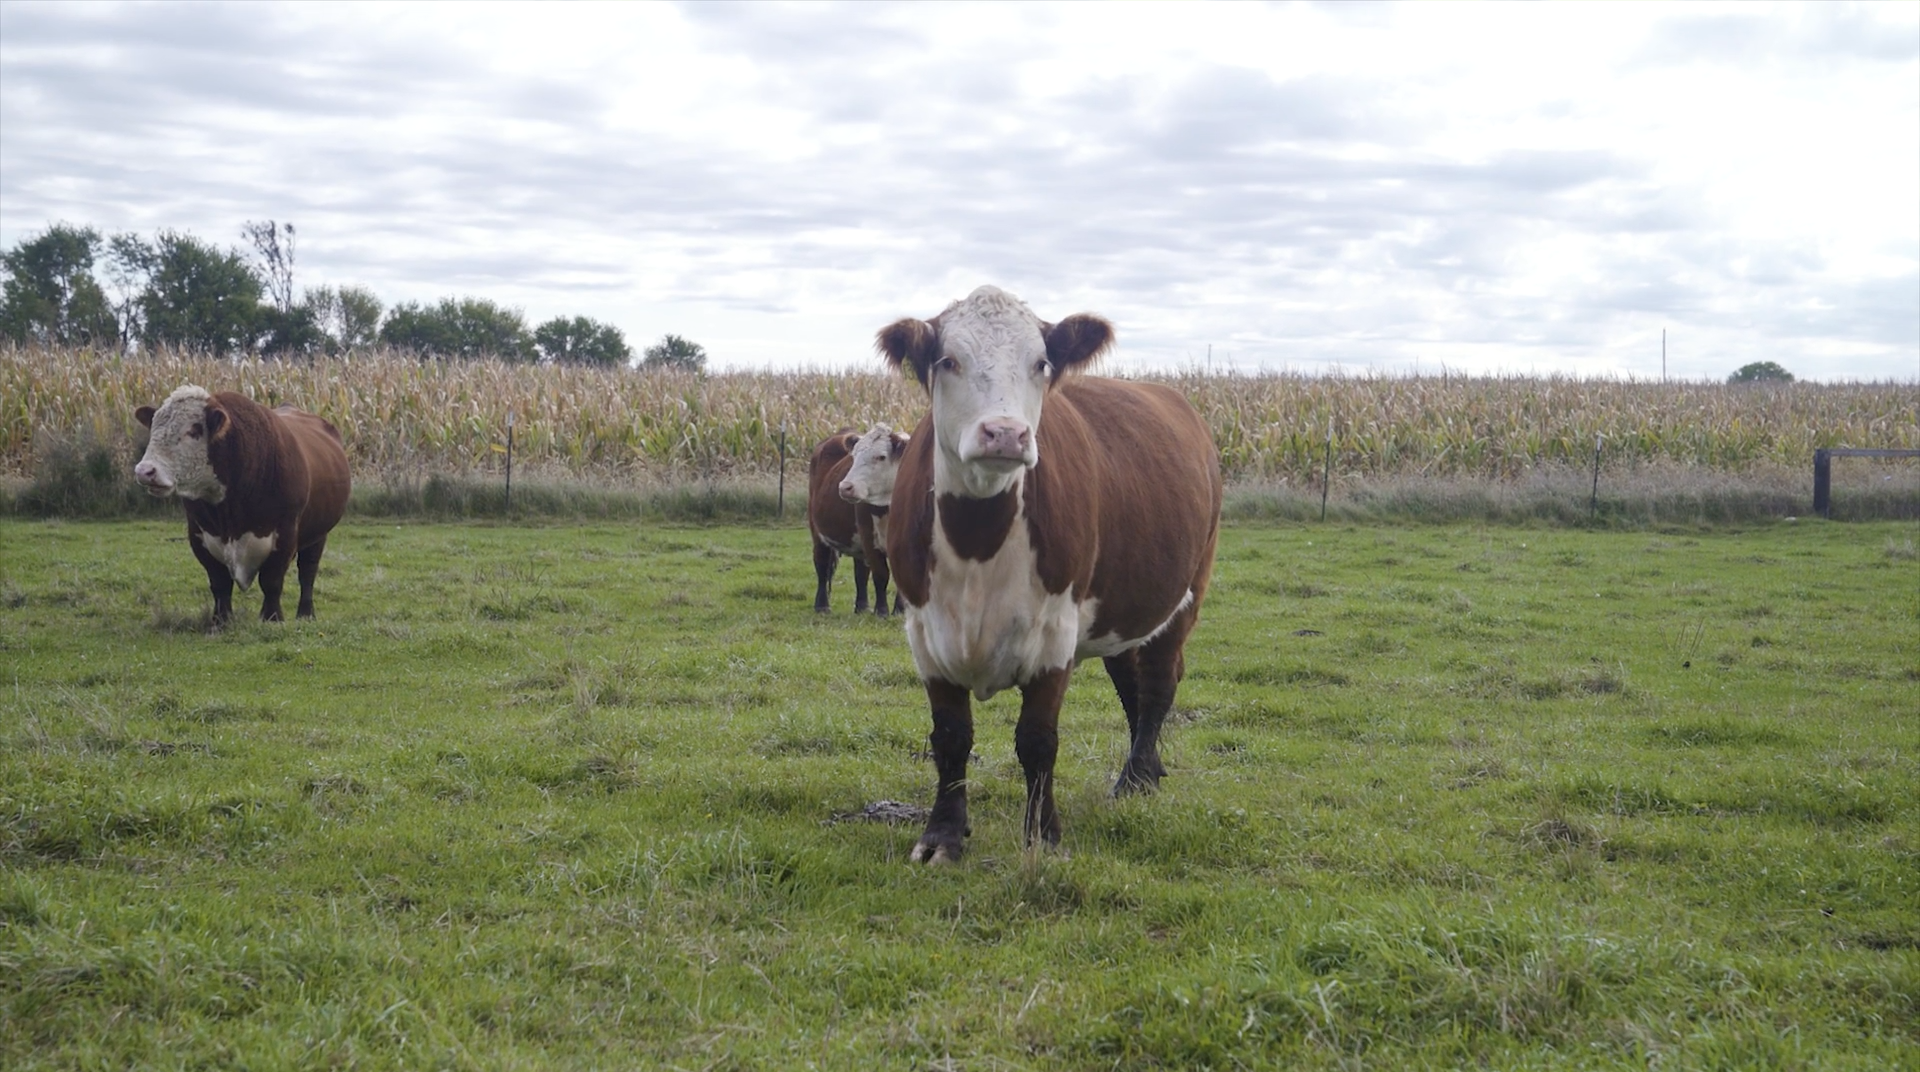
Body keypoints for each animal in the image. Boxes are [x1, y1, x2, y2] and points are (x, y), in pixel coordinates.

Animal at [133, 385, 351, 624]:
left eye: (193, 431)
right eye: (154, 427)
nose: (145, 471)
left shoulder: (285, 534)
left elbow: (272, 581)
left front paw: (272, 617)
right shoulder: (199, 535)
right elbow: (219, 583)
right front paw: (221, 620)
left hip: (318, 534)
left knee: (308, 572)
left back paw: (306, 613)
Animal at [839, 423, 910, 617]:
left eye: (881, 456)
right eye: (854, 455)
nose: (845, 487)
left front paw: (900, 610)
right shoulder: (868, 539)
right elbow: (880, 574)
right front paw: (882, 611)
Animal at [877, 286, 1222, 863]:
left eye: (1040, 363)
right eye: (948, 360)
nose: (1005, 433)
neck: (978, 541)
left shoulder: (1054, 632)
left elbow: (1037, 739)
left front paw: (1043, 835)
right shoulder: (925, 632)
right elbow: (950, 737)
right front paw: (943, 835)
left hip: (1185, 594)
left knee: (1158, 683)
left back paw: (1134, 778)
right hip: (1118, 609)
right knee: (1130, 683)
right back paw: (1147, 771)